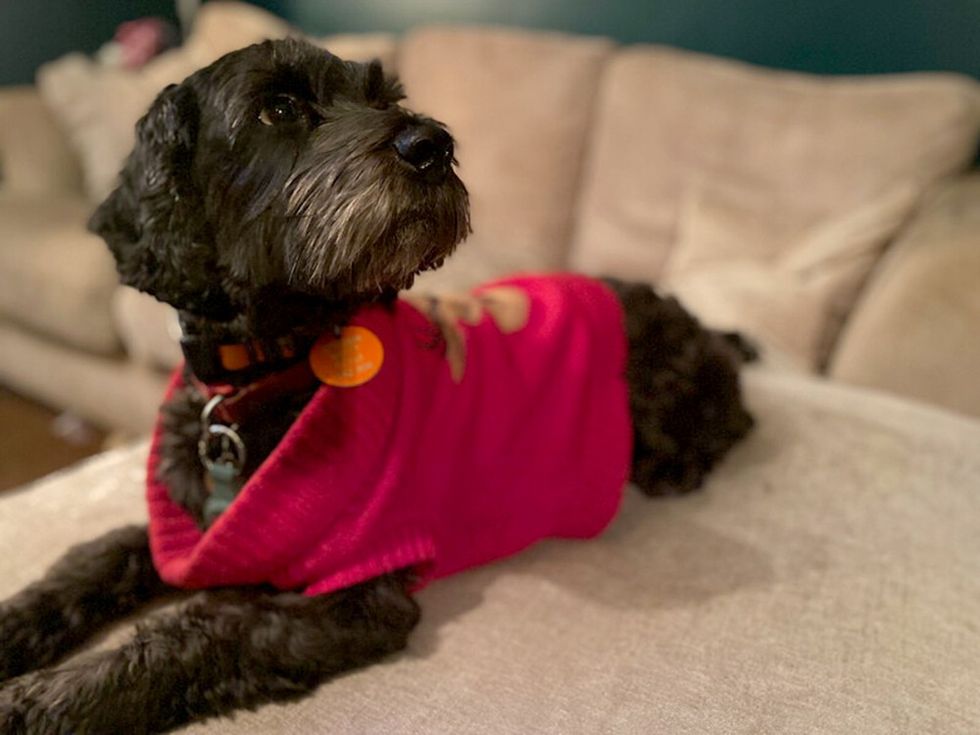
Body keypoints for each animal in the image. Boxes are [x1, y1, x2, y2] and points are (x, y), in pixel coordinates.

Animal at [0, 41, 752, 735]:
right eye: (279, 107)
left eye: (385, 98)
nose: (434, 146)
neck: (267, 373)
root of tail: (701, 324)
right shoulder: (187, 530)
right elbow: (93, 558)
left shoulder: (353, 600)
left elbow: (193, 634)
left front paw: (38, 701)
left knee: (731, 423)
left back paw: (676, 463)